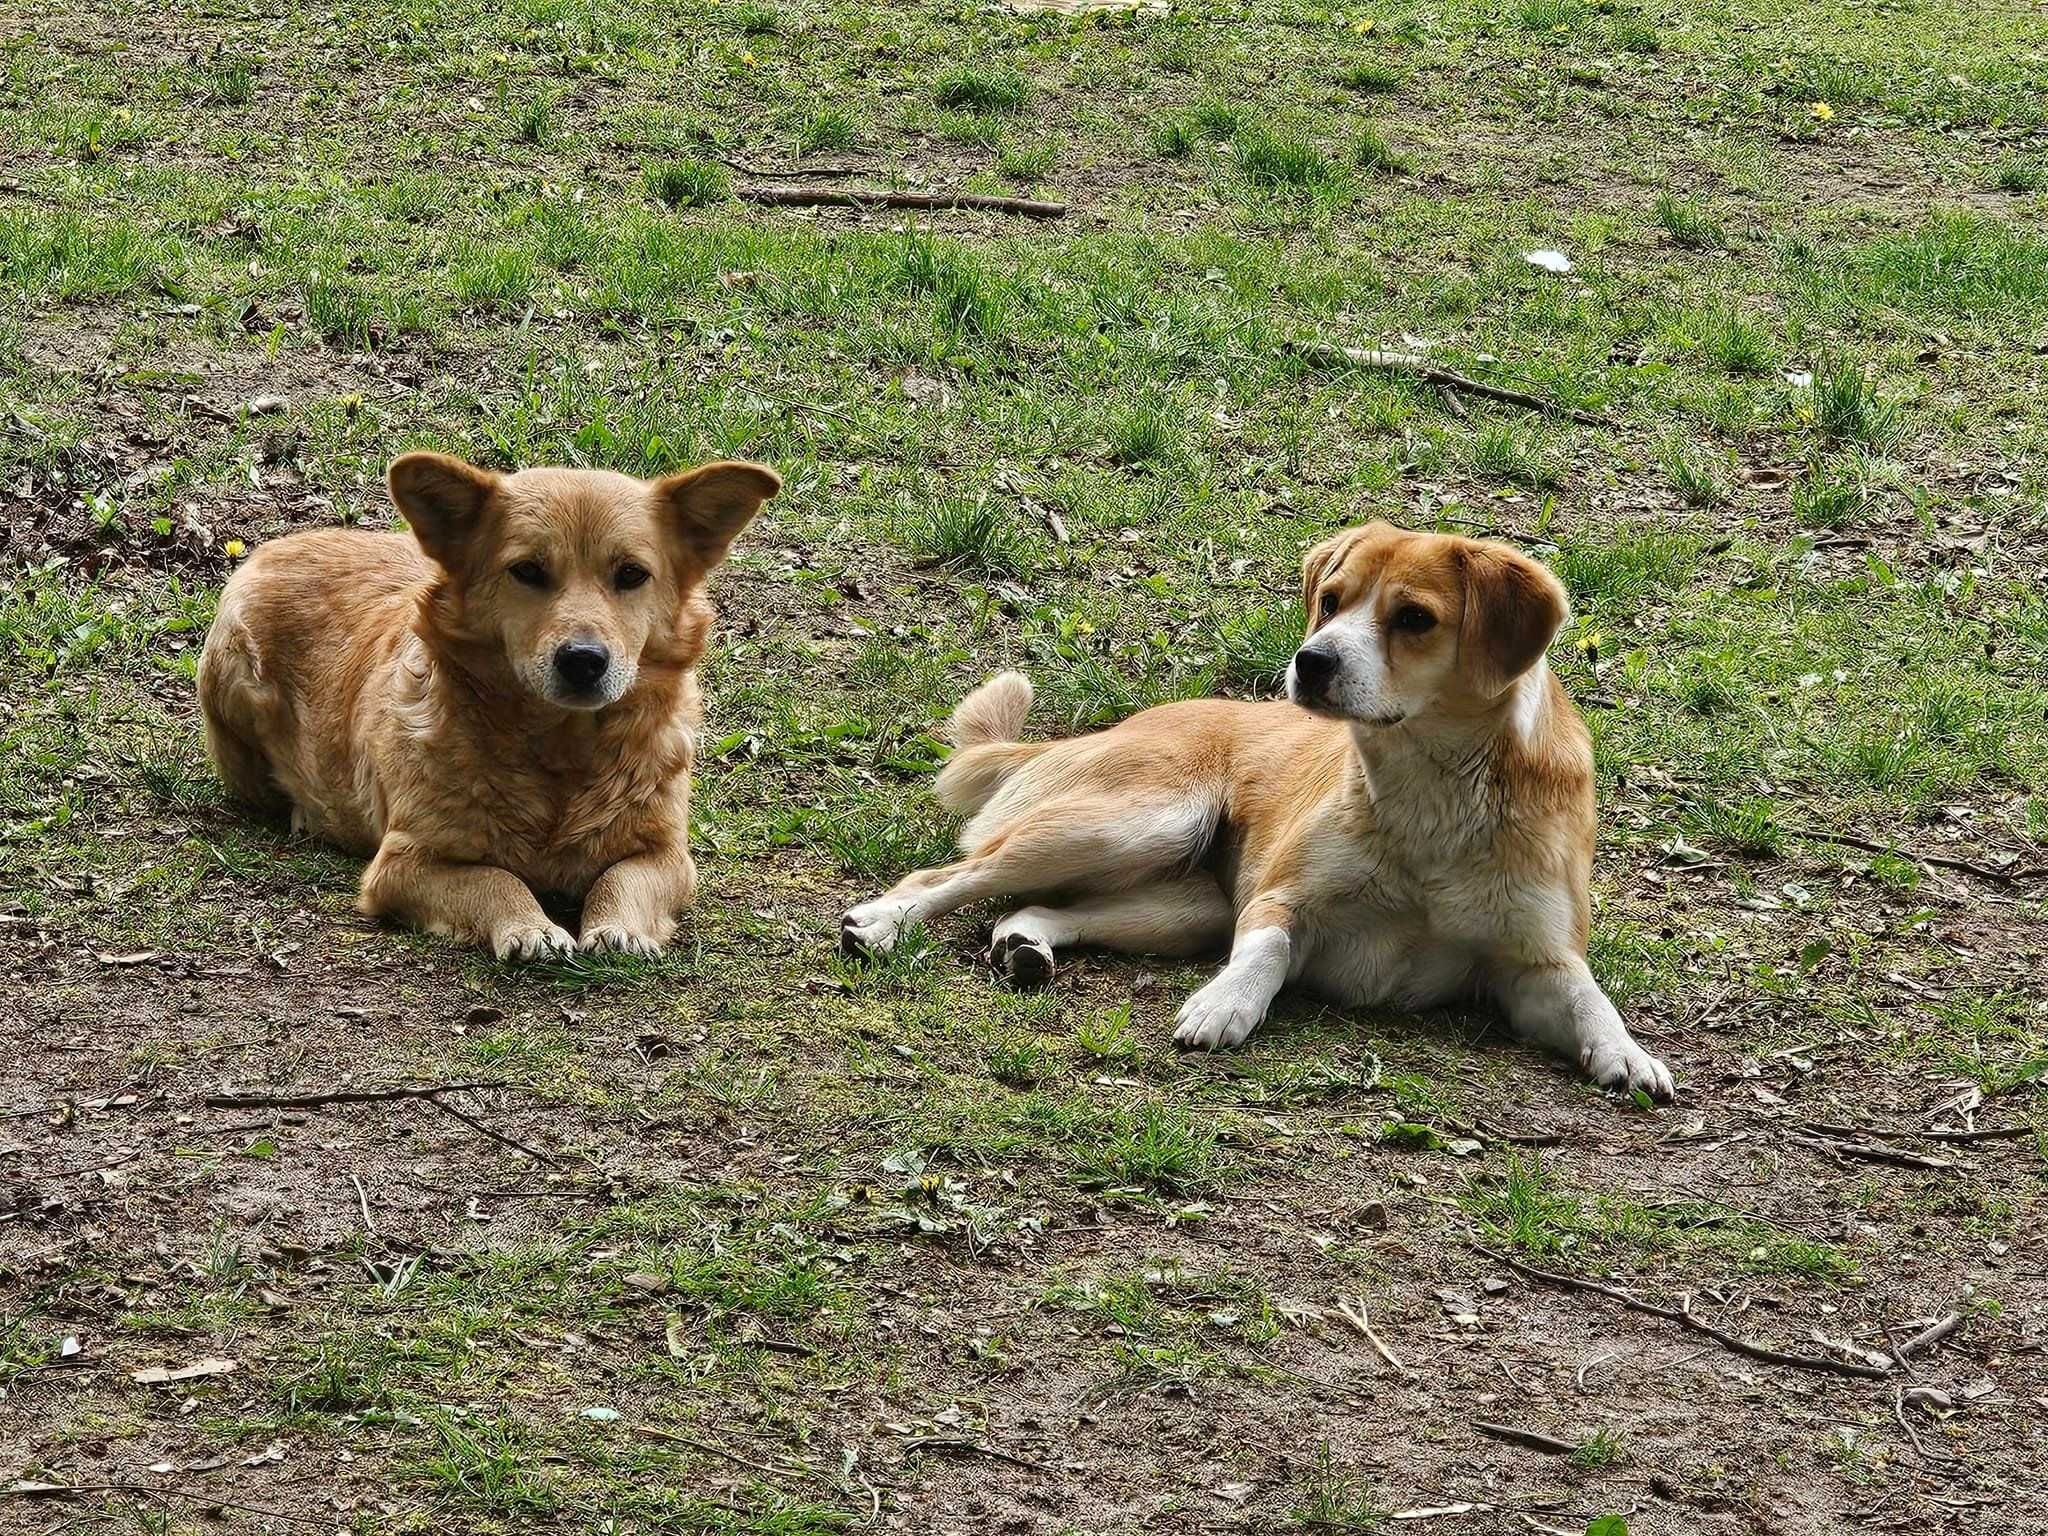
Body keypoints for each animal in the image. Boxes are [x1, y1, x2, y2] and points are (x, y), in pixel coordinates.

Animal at [199, 456, 778, 962]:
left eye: (632, 574)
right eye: (528, 570)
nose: (583, 660)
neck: (562, 755)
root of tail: (279, 544)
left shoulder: (669, 857)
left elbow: (623, 876)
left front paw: (618, 927)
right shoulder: (403, 865)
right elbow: (496, 878)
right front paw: (528, 925)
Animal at [839, 524, 1671, 1097]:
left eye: (1413, 619)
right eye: (1331, 602)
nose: (1312, 660)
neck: (1431, 795)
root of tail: (1106, 728)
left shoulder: (1533, 964)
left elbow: (1591, 996)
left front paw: (1629, 1054)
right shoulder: (1280, 900)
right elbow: (1264, 955)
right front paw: (1224, 1005)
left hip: (1186, 907)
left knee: (1034, 906)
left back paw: (1025, 944)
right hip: (1136, 821)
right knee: (948, 876)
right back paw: (880, 923)